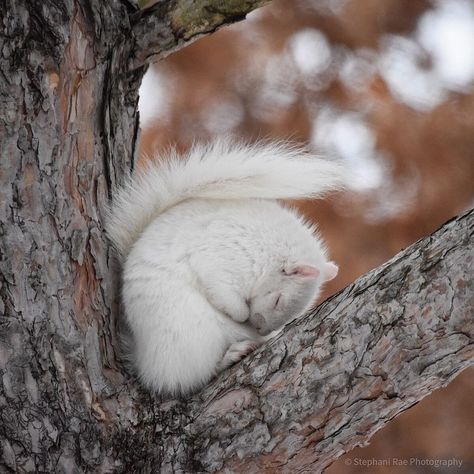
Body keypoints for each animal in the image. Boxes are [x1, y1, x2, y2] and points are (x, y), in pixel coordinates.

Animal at [106, 138, 344, 396]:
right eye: (278, 300)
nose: (260, 328)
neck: (268, 251)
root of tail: (144, 359)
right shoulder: (222, 255)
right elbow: (225, 295)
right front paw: (241, 315)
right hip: (190, 335)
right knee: (189, 378)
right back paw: (231, 355)